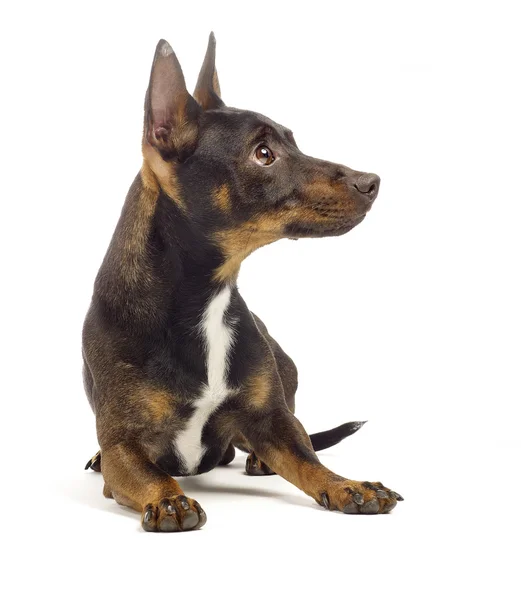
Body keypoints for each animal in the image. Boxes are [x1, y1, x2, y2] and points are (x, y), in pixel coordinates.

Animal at [84, 34, 402, 528]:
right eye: (263, 154)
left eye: (293, 143)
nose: (372, 182)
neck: (204, 301)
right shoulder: (124, 446)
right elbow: (146, 471)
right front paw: (167, 498)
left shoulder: (273, 422)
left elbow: (308, 460)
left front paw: (348, 485)